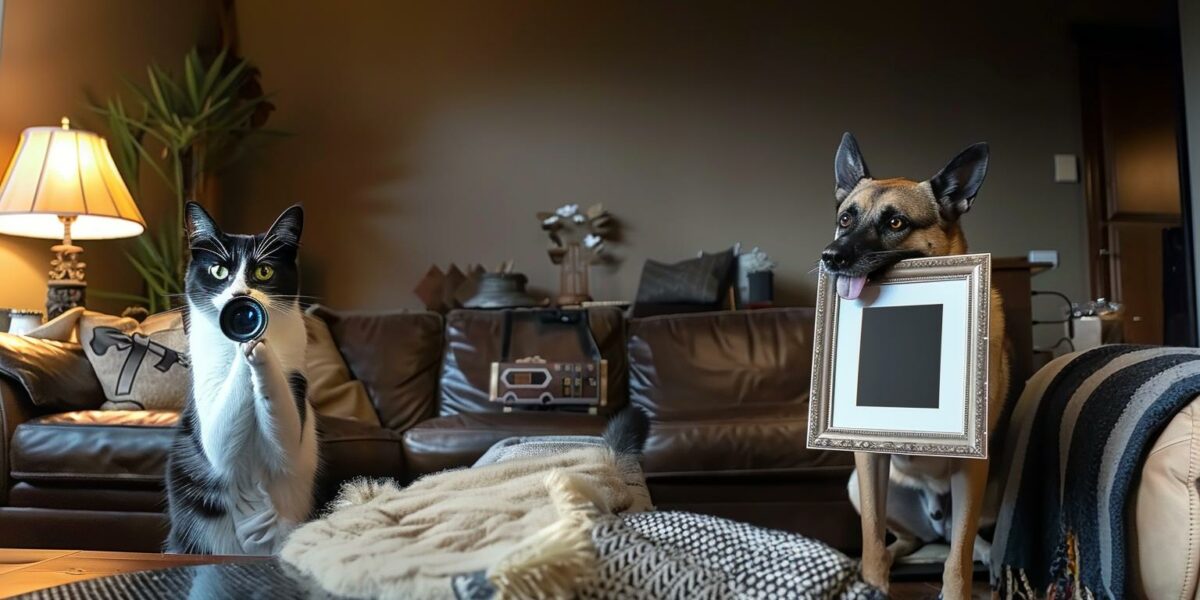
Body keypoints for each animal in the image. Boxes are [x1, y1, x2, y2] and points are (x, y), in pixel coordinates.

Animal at [169, 204, 321, 554]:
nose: (240, 296)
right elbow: (221, 437)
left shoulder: (293, 412)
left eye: (264, 272)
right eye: (219, 271)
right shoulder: (211, 425)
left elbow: (282, 430)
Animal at [820, 132, 1008, 600]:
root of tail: (934, 519)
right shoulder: (869, 461)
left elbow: (958, 558)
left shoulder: (972, 464)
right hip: (859, 487)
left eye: (895, 223)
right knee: (906, 540)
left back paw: (986, 554)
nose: (830, 257)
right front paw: (871, 583)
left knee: (964, 539)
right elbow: (870, 539)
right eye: (846, 218)